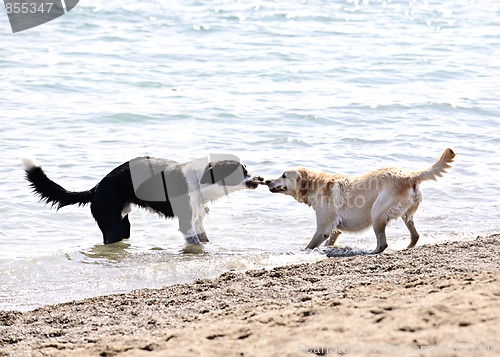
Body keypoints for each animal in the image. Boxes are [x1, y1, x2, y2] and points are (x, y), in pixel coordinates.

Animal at [21, 154, 264, 246]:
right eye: (241, 171)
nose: (261, 178)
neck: (200, 181)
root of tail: (97, 188)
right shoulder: (186, 222)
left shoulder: (197, 220)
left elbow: (203, 238)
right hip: (112, 226)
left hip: (123, 223)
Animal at [268, 148, 456, 253]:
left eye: (283, 175)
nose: (268, 181)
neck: (317, 185)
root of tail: (409, 176)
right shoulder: (335, 230)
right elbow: (330, 241)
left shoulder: (323, 229)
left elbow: (311, 245)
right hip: (405, 215)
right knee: (415, 235)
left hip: (377, 213)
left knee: (383, 243)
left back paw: (373, 251)